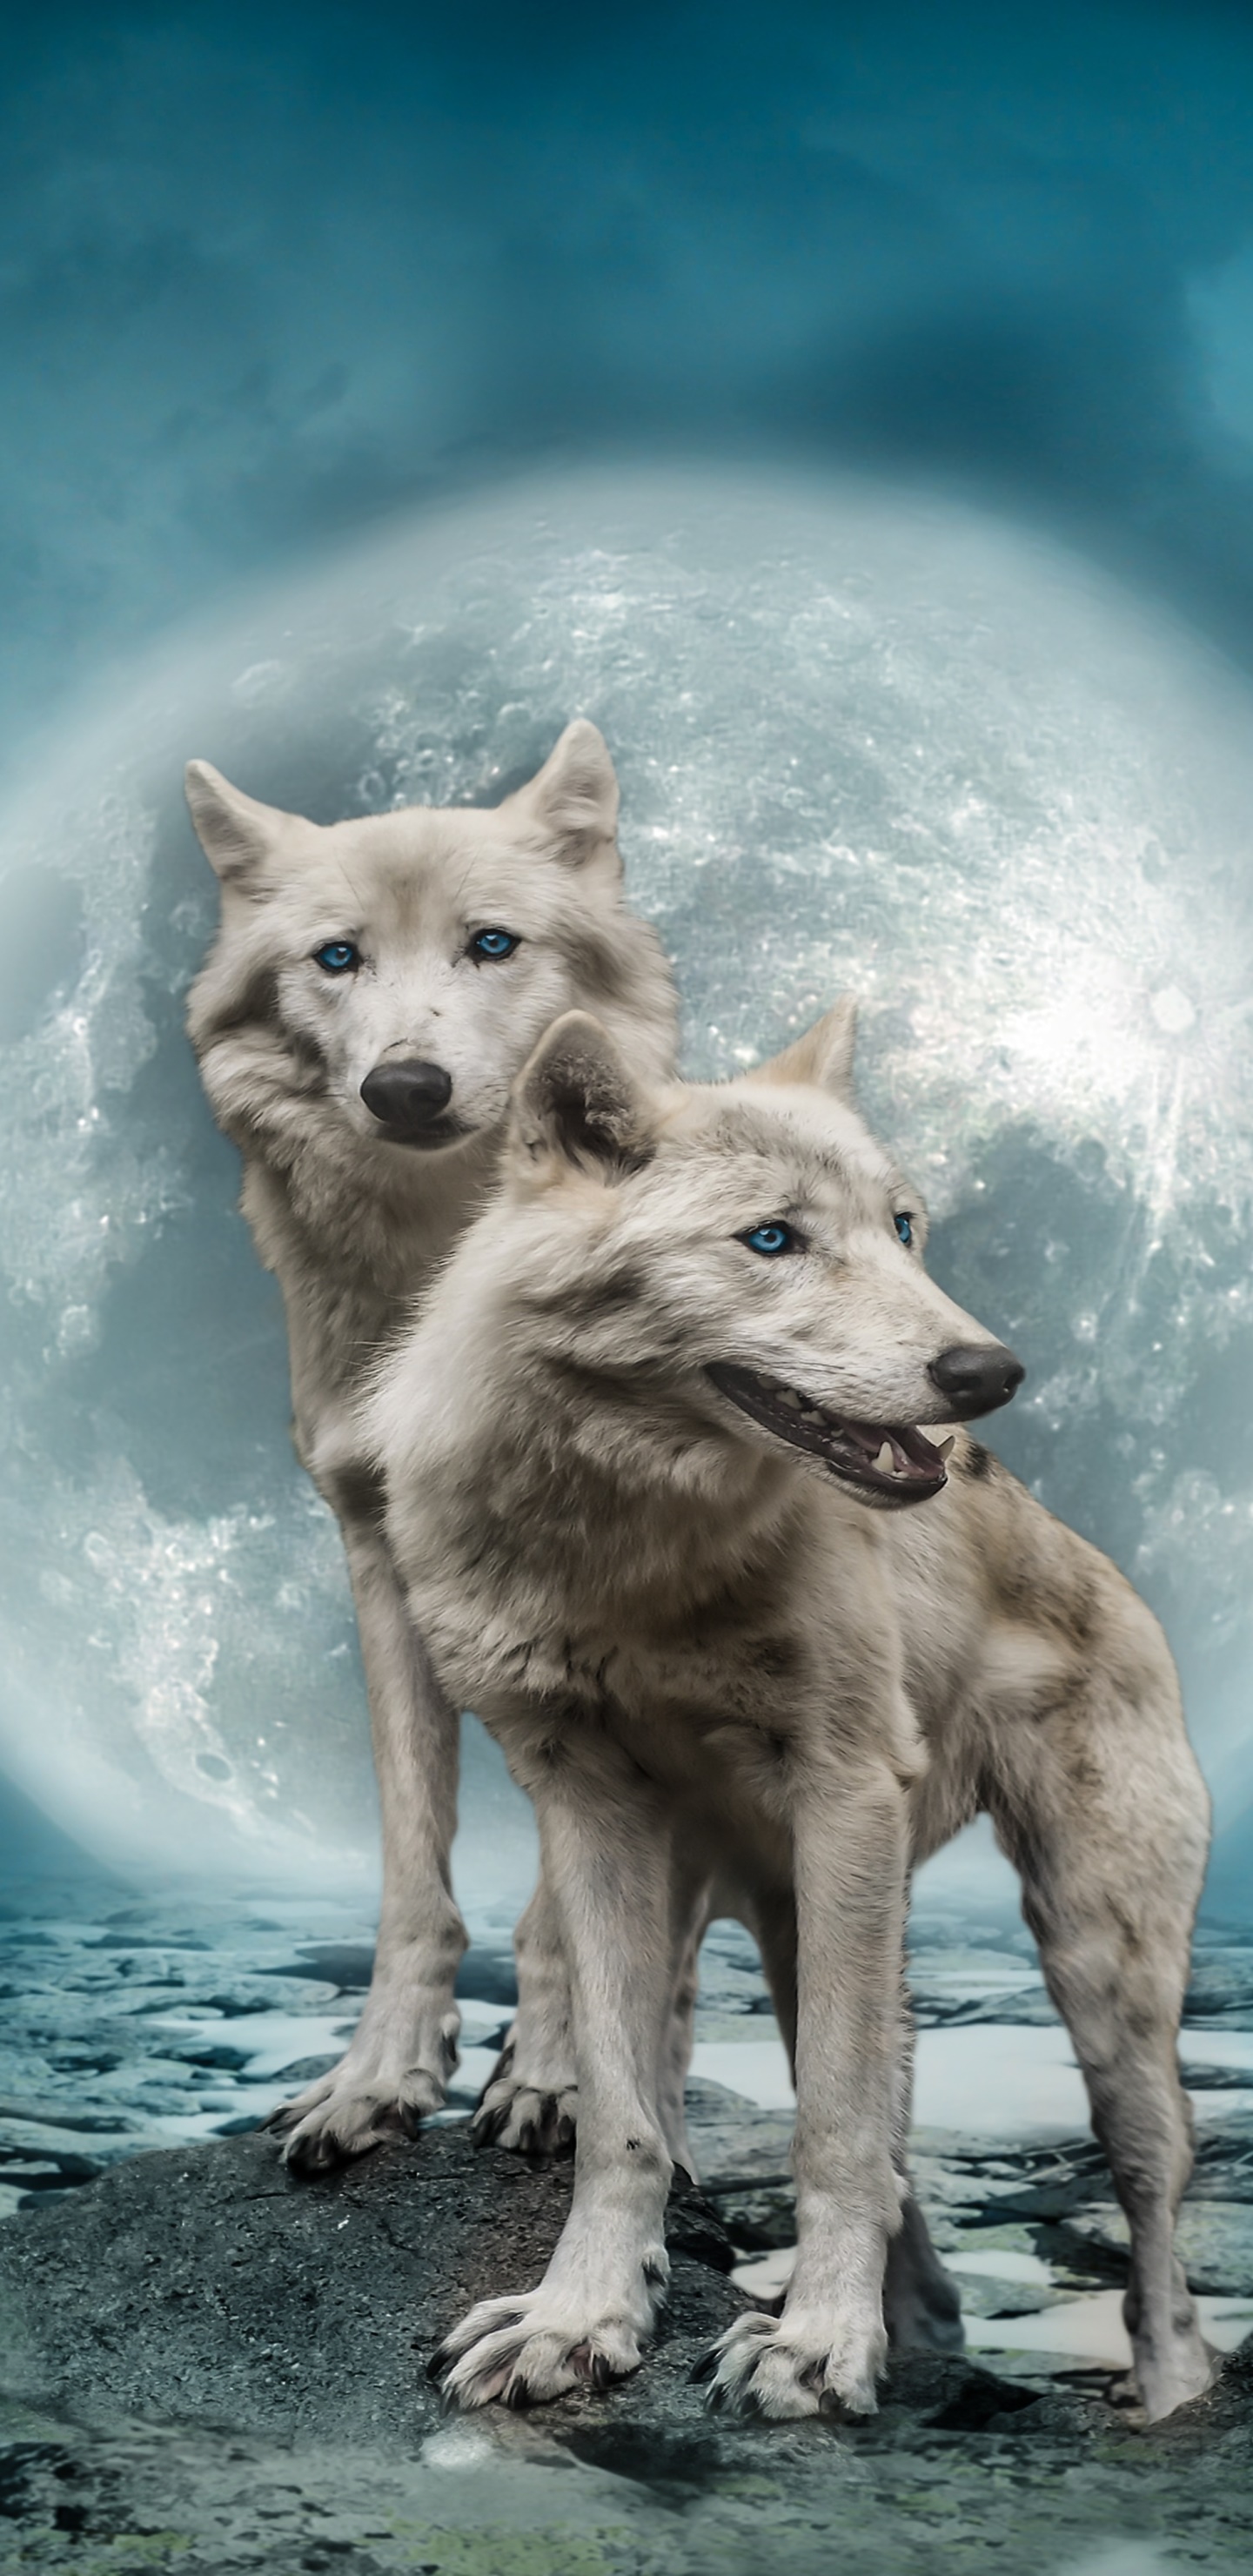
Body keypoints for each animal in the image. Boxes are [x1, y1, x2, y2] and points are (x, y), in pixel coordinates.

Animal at [185, 723, 679, 2168]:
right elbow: (414, 1871)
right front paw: (376, 2081)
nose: (405, 1085)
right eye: (338, 957)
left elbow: (573, 1900)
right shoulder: (378, 1557)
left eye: (492, 945)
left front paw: (558, 2077)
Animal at [369, 1001, 1213, 2425]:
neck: (633, 1556)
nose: (988, 1372)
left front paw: (817, 2347)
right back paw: (914, 2327)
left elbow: (832, 2124)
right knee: (900, 2171)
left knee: (1151, 2203)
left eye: (905, 1227)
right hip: (785, 1923)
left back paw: (1159, 2395)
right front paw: (581, 2319)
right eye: (773, 1239)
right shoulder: (584, 1804)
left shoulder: (845, 1789)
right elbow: (621, 2109)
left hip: (1095, 1967)